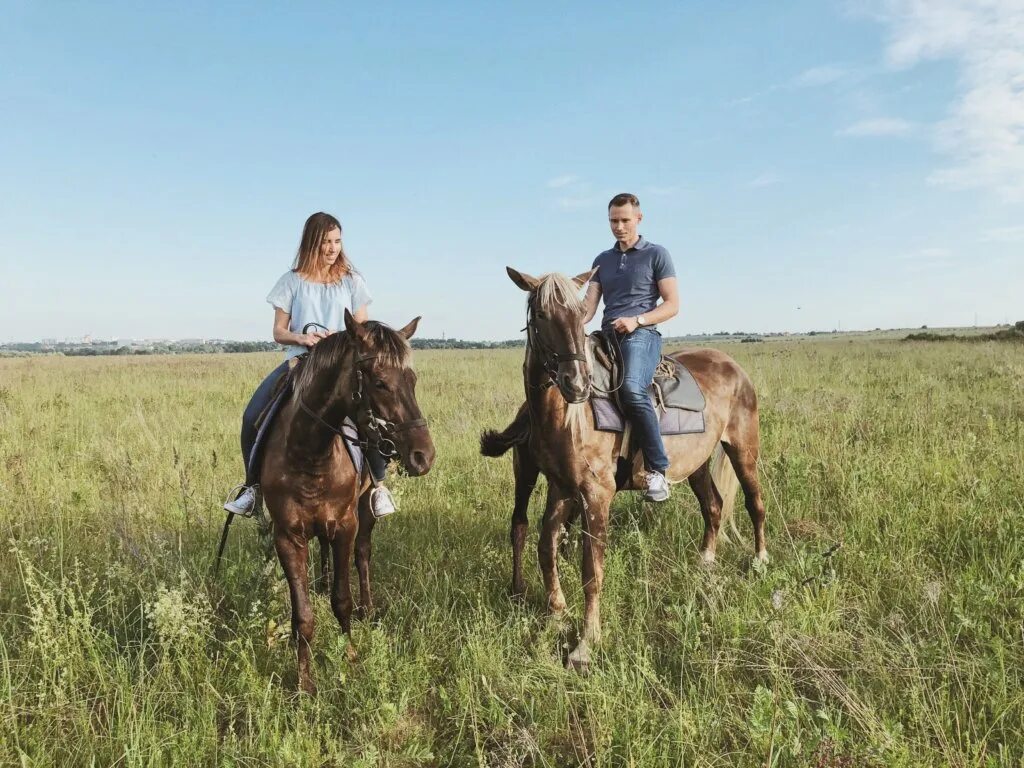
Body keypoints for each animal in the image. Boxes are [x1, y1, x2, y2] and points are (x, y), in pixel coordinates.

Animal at [260, 309, 432, 696]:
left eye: (412, 380)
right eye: (380, 383)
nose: (424, 457)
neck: (309, 453)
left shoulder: (346, 526)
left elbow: (343, 599)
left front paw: (351, 657)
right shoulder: (287, 536)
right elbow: (303, 614)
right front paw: (305, 682)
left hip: (366, 509)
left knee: (363, 555)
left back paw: (367, 609)